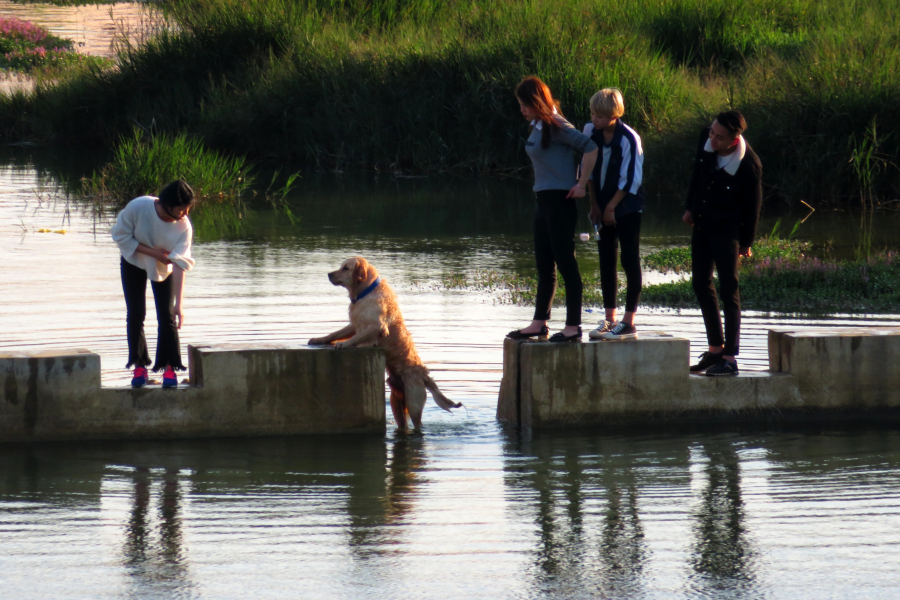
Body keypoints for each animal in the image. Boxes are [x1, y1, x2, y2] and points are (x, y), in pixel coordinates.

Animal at [312, 255, 464, 428]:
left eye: (345, 268)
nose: (329, 274)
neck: (366, 292)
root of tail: (424, 375)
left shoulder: (376, 326)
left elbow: (356, 337)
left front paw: (344, 344)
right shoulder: (355, 324)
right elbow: (336, 333)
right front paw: (318, 339)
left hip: (414, 403)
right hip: (395, 402)